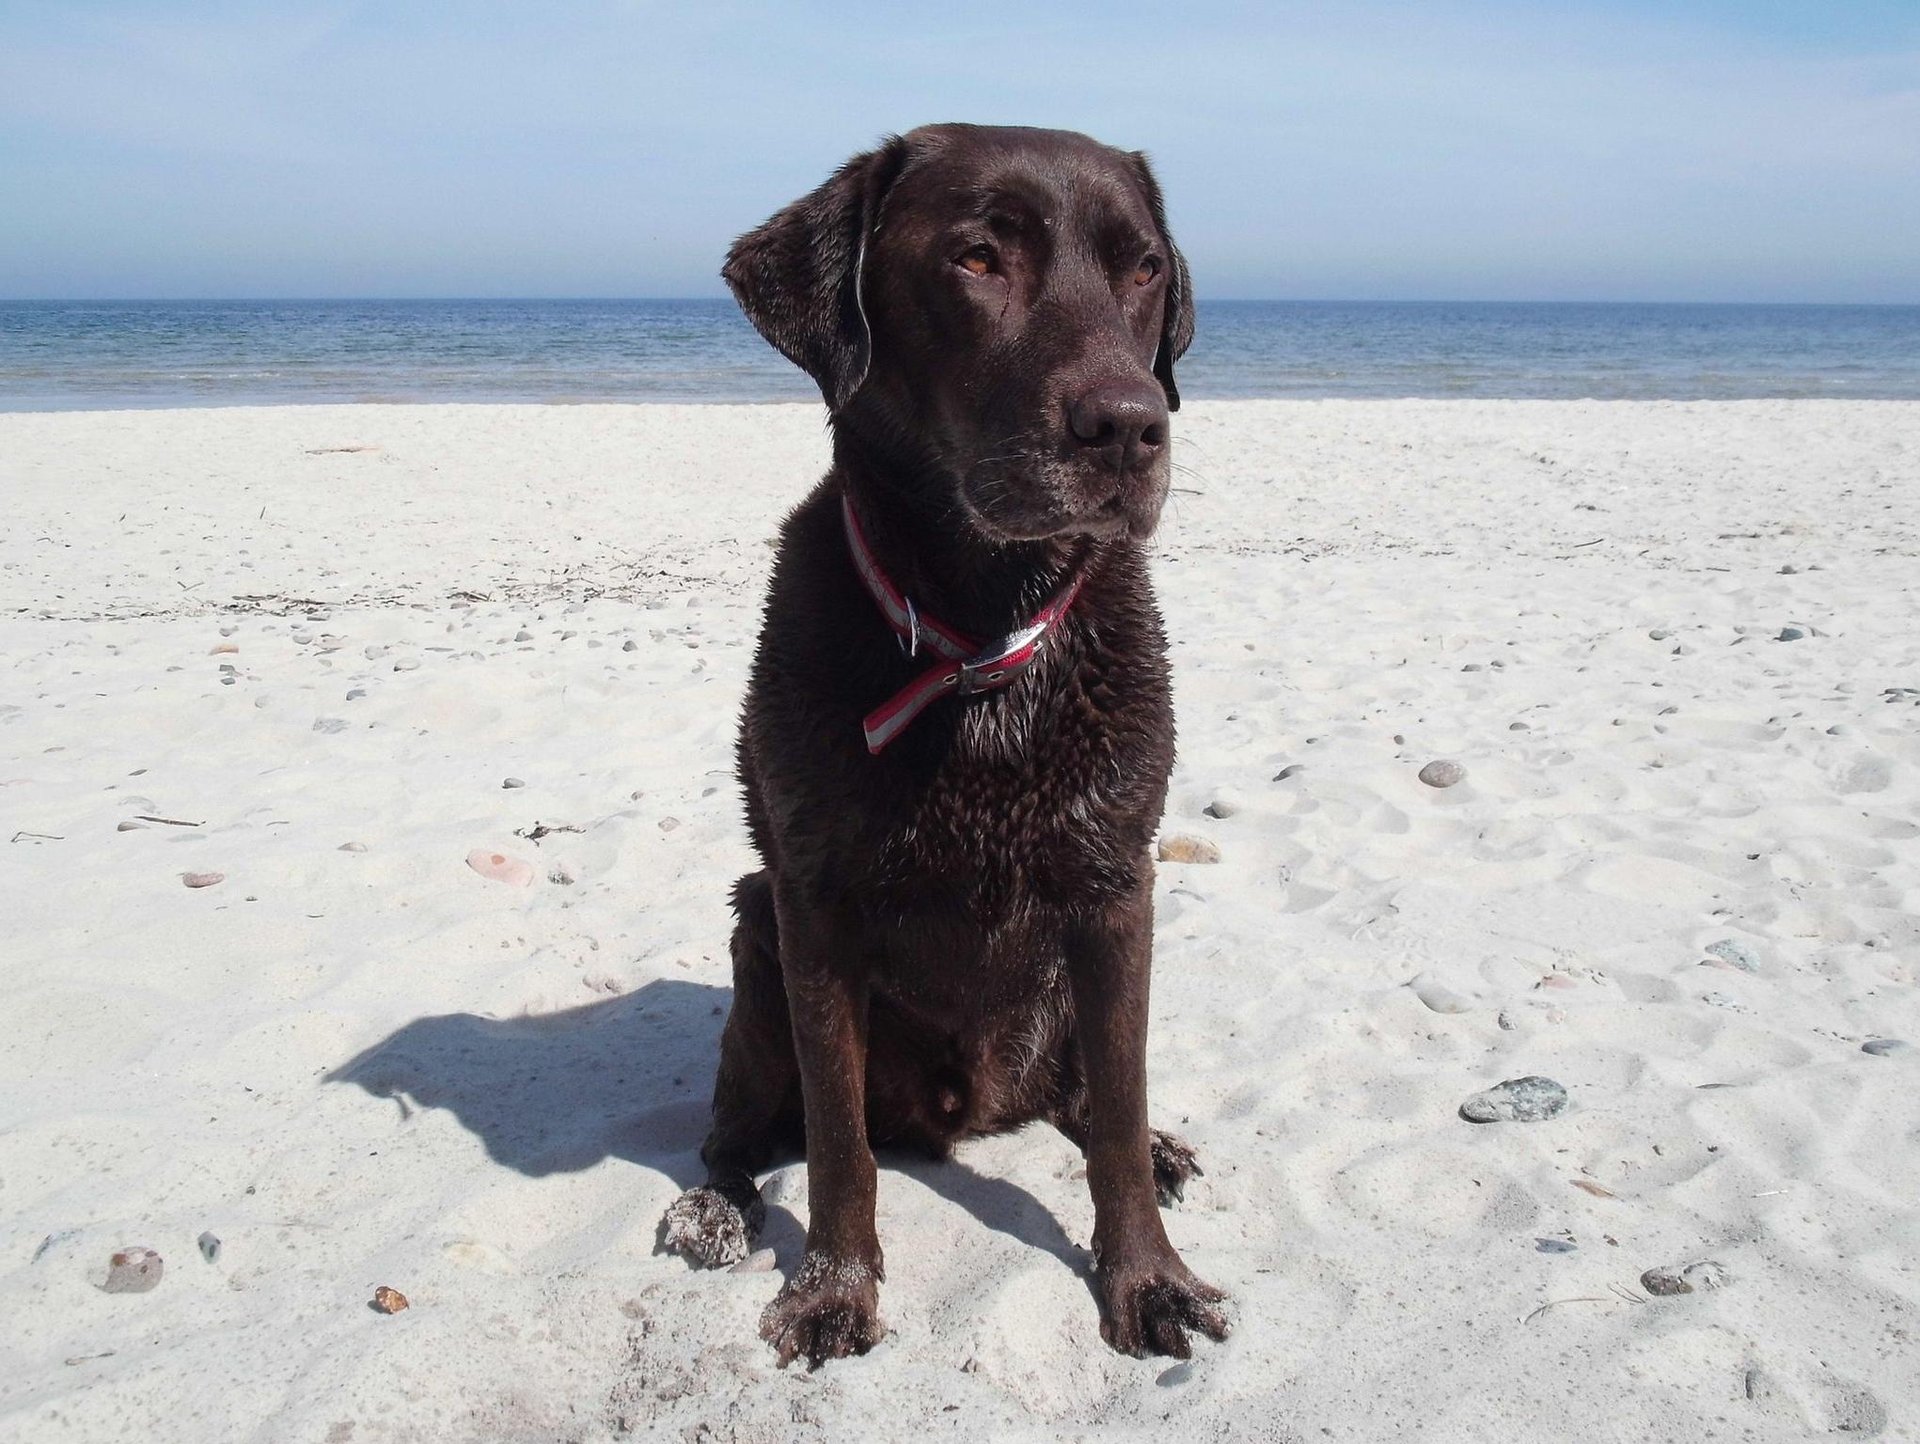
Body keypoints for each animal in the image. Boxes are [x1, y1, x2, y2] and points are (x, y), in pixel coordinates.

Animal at [660, 121, 1228, 1367]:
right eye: (977, 258)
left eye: (1144, 269)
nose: (1131, 424)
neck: (977, 638)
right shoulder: (813, 906)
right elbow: (836, 1141)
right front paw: (833, 1286)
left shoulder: (1117, 889)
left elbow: (1119, 1113)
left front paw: (1149, 1275)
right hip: (753, 937)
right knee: (735, 1129)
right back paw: (712, 1205)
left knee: (1086, 1101)